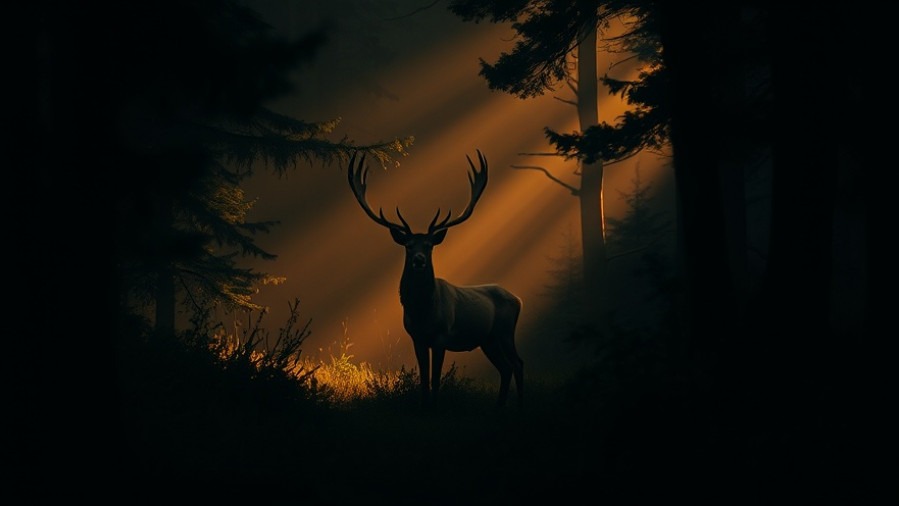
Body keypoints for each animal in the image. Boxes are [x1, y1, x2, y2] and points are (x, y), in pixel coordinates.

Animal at [347, 149, 524, 408]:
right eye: (409, 245)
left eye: (429, 245)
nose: (419, 260)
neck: (422, 312)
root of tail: (518, 299)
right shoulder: (417, 338)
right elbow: (423, 379)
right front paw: (424, 406)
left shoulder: (442, 336)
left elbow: (436, 379)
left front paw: (435, 405)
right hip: (488, 339)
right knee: (506, 367)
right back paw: (500, 405)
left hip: (505, 331)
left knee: (518, 363)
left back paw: (520, 402)